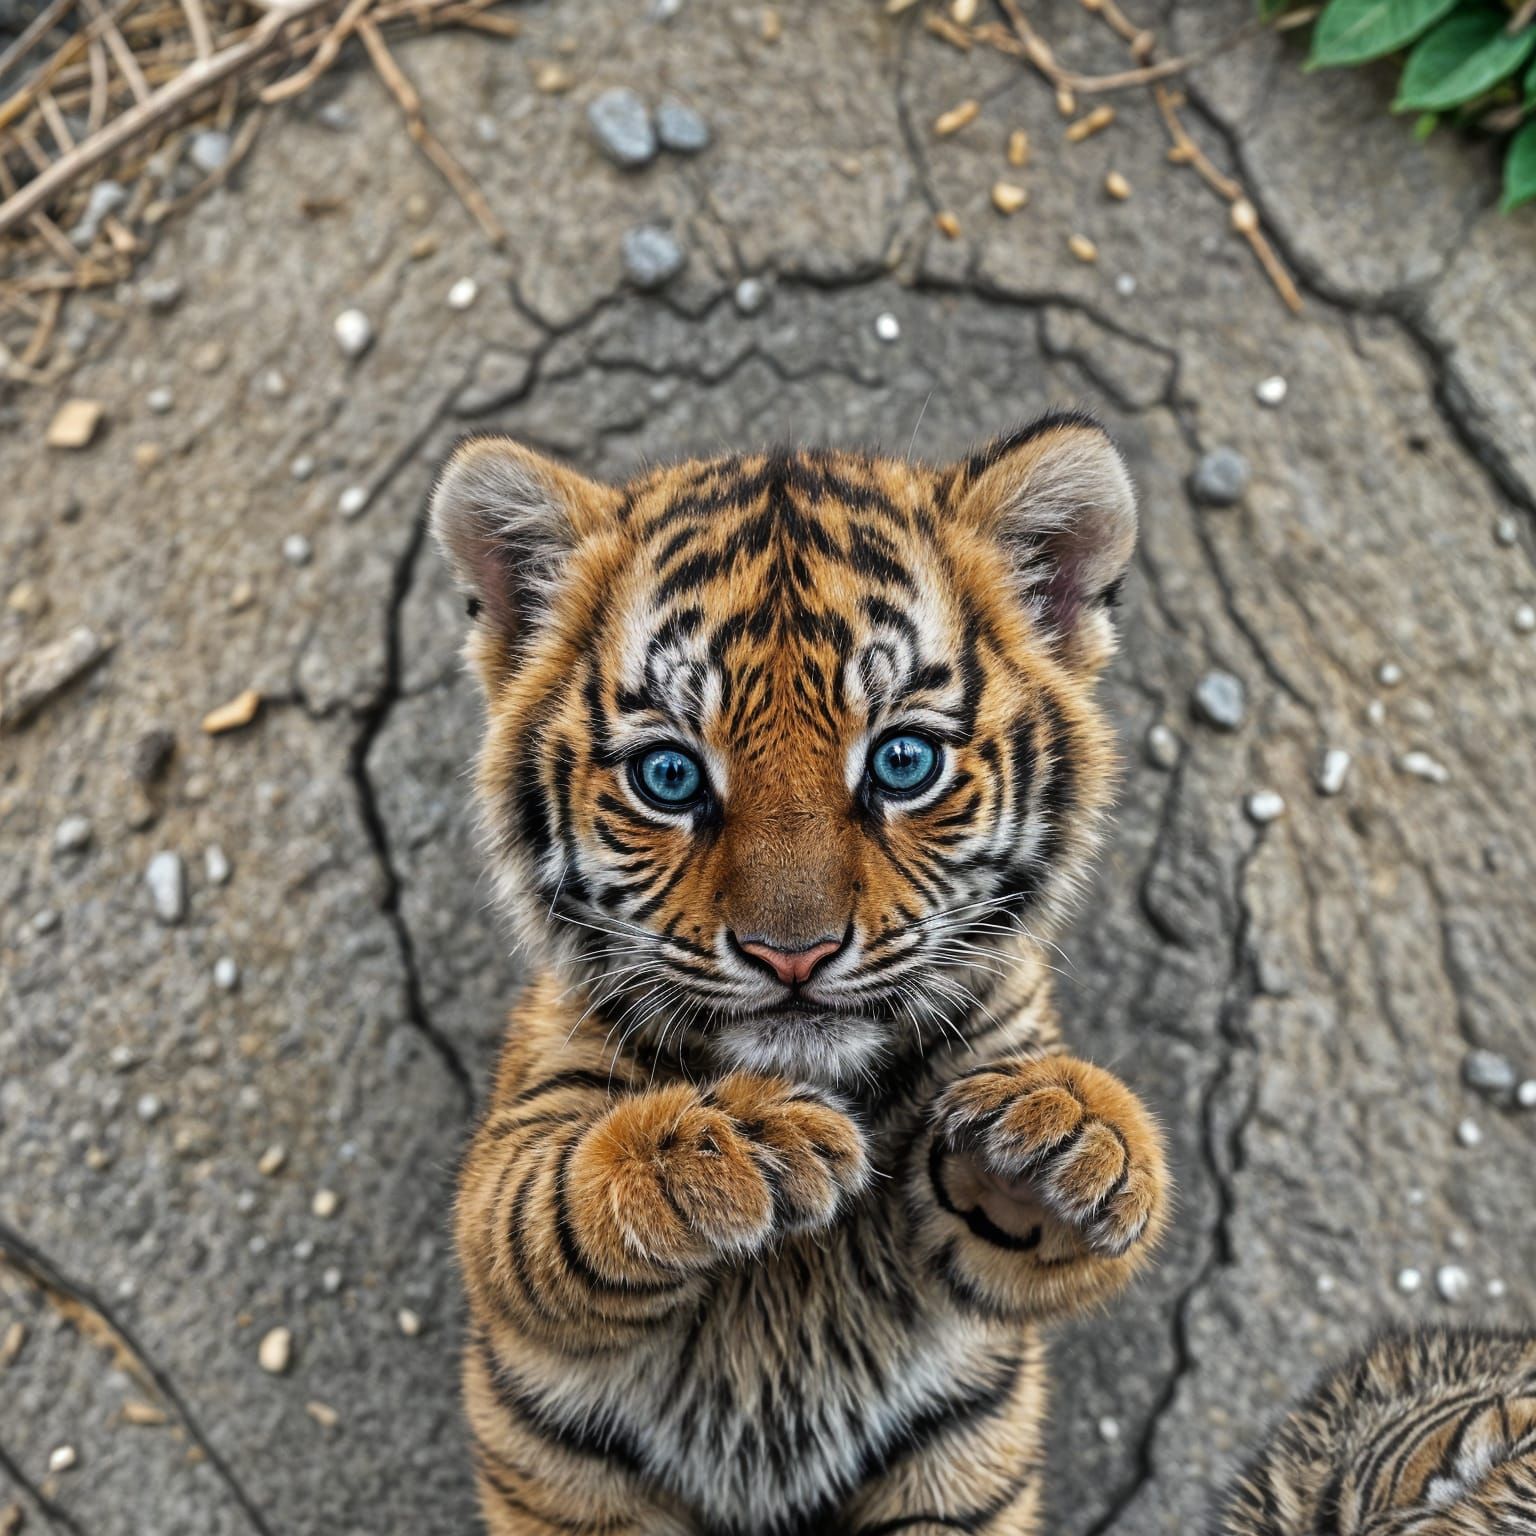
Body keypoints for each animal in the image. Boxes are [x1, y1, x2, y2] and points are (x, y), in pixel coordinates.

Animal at [429, 412, 1172, 1536]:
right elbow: (552, 1194)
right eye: (669, 776)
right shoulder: (527, 1125)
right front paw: (731, 1147)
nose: (795, 954)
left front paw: (1071, 1136)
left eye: (903, 763)